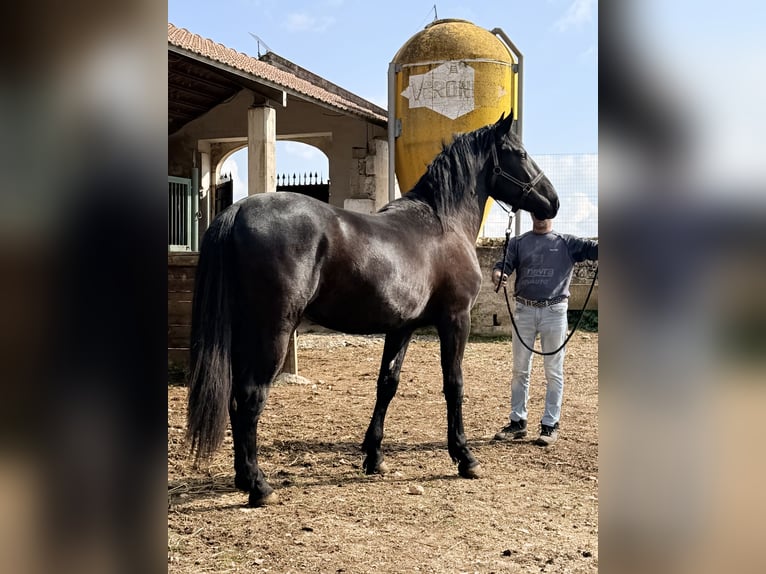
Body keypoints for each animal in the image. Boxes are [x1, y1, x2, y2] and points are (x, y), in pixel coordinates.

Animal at [186, 113, 559, 506]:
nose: (552, 202)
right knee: (250, 397)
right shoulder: (455, 320)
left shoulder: (402, 327)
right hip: (272, 332)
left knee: (234, 399)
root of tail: (237, 210)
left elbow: (387, 385)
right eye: (519, 153)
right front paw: (464, 457)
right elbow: (454, 384)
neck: (443, 224)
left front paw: (374, 456)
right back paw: (259, 486)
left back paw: (244, 478)